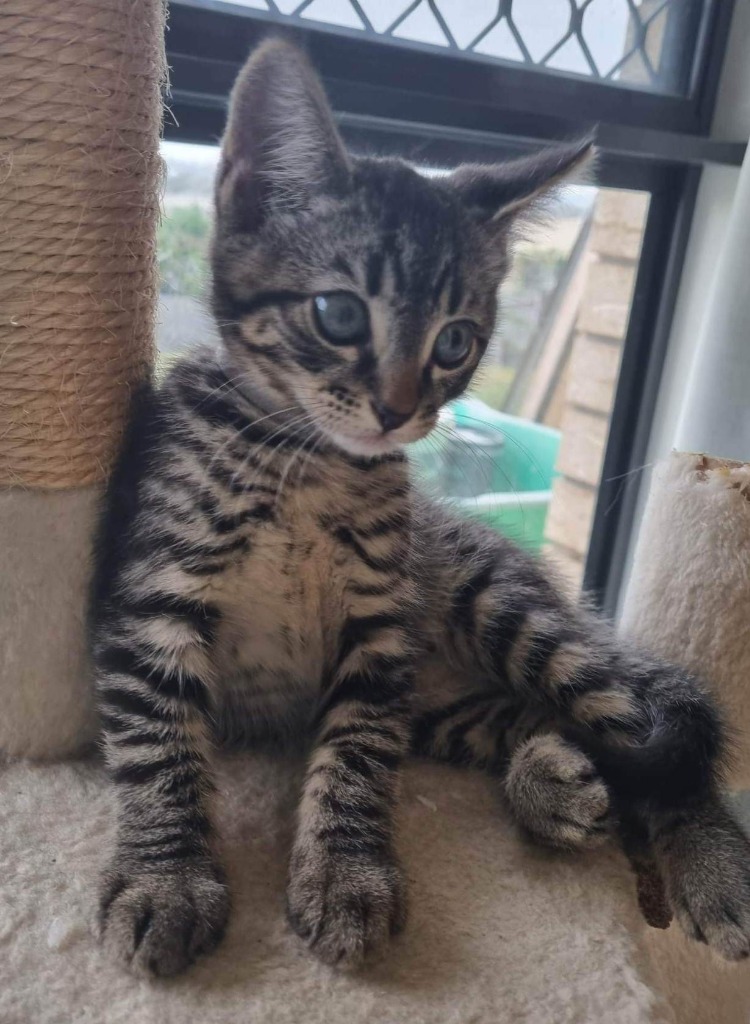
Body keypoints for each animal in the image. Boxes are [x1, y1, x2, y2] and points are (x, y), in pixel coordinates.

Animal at [91, 38, 750, 977]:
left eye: (455, 341)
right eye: (337, 313)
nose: (399, 409)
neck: (309, 463)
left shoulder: (380, 622)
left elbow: (358, 754)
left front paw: (344, 874)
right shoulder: (153, 593)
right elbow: (156, 742)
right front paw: (167, 877)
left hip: (501, 608)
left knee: (657, 740)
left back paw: (709, 866)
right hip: (446, 706)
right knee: (577, 733)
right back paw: (551, 779)